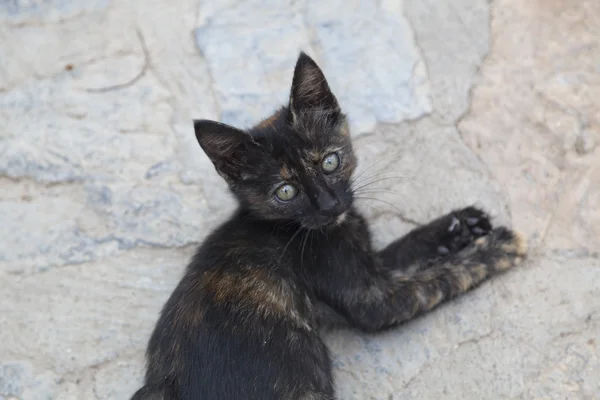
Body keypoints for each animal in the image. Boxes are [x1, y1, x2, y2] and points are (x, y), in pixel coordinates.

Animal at [130, 53, 524, 400]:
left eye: (330, 162)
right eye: (285, 191)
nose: (330, 205)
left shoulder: (369, 261)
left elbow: (406, 246)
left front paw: (462, 224)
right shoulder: (373, 300)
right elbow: (442, 277)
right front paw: (497, 247)